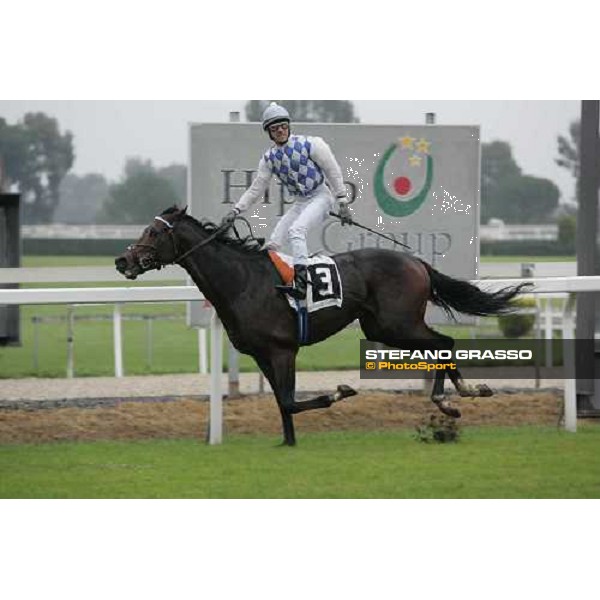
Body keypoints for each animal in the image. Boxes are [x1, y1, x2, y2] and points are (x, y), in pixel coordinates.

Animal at [115, 206, 528, 446]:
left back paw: (450, 399)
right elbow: (282, 403)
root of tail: (416, 262)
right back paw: (465, 392)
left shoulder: (283, 350)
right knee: (438, 344)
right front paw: (288, 443)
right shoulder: (262, 354)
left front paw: (339, 392)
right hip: (380, 329)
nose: (122, 261)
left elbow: (289, 400)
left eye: (153, 232)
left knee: (443, 342)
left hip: (398, 323)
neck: (242, 281)